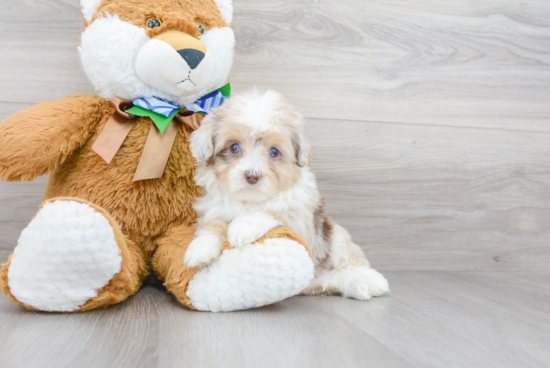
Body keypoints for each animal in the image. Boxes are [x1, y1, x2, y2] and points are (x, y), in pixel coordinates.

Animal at [184, 90, 388, 302]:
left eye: (274, 151)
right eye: (234, 148)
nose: (252, 176)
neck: (251, 200)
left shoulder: (303, 219)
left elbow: (276, 210)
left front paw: (244, 225)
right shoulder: (214, 207)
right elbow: (212, 224)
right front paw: (201, 249)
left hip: (335, 236)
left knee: (350, 259)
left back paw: (369, 281)